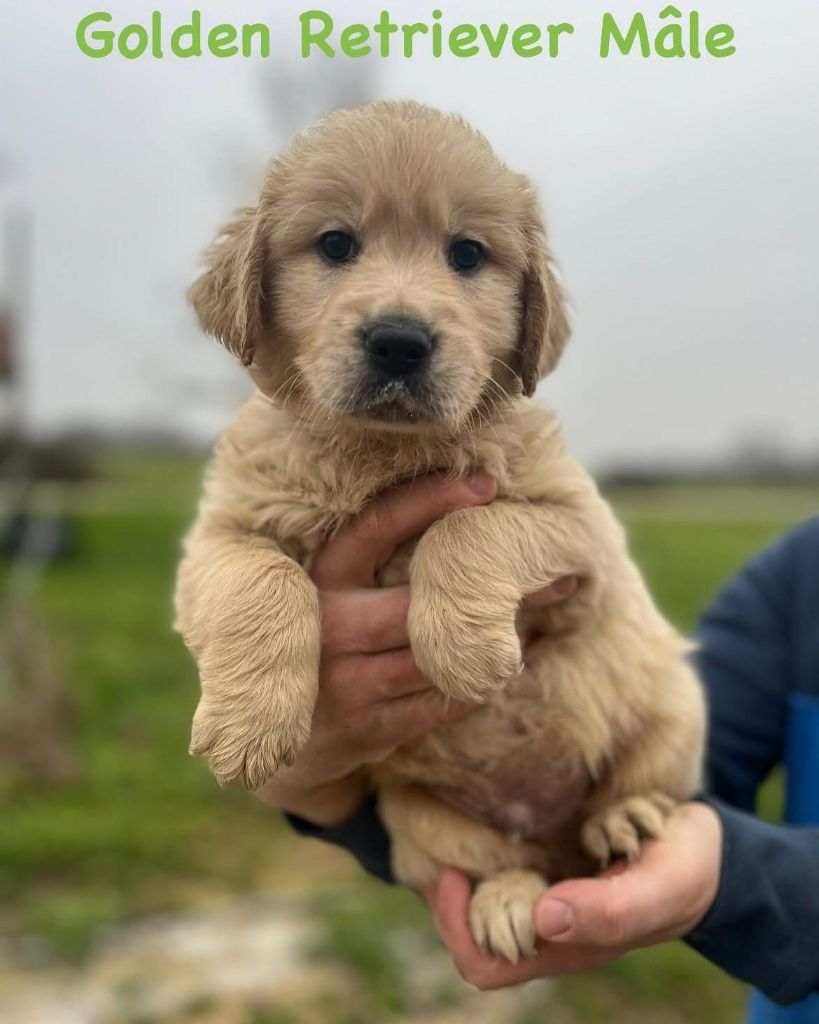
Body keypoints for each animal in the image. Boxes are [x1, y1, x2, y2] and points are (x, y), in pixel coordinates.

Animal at [176, 99, 708, 962]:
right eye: (335, 244)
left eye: (466, 254)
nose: (399, 340)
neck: (378, 451)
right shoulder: (221, 533)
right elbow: (262, 578)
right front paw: (250, 726)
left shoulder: (582, 536)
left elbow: (470, 524)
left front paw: (460, 651)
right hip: (418, 820)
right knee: (509, 861)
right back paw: (506, 902)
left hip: (673, 710)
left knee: (636, 787)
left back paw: (625, 819)